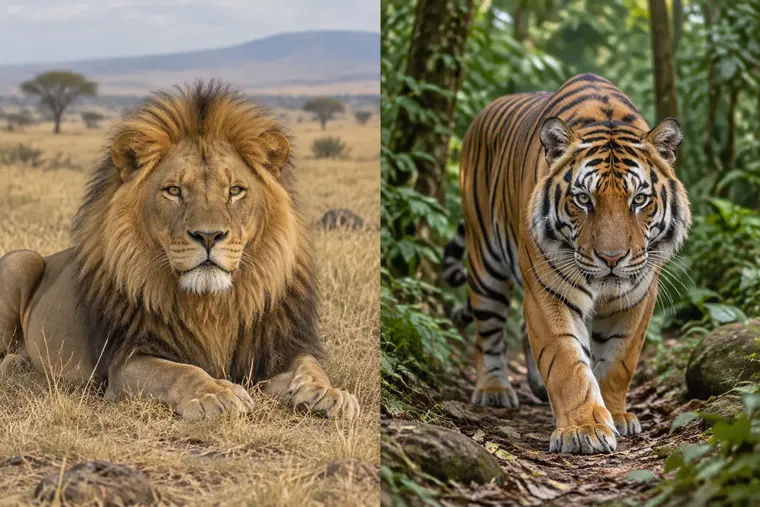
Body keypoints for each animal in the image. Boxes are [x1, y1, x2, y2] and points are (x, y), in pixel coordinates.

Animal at [0, 81, 359, 421]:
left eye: (235, 190)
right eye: (173, 190)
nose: (209, 235)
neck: (212, 306)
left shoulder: (277, 348)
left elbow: (310, 364)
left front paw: (327, 393)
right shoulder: (125, 361)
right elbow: (182, 371)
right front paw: (217, 393)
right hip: (20, 260)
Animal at [441, 73, 690, 454]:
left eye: (639, 199)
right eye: (583, 199)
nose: (612, 258)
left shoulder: (638, 296)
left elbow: (619, 360)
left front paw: (617, 415)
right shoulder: (548, 291)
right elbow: (566, 361)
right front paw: (584, 428)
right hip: (486, 265)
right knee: (488, 333)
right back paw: (494, 389)